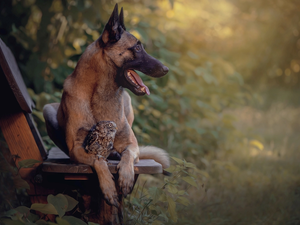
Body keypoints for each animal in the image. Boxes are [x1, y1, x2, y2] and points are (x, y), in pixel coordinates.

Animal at [53, 3, 169, 207]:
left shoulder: (132, 144)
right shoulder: (76, 149)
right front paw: (108, 187)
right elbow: (97, 160)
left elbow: (128, 155)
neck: (101, 94)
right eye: (137, 47)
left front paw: (126, 176)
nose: (166, 69)